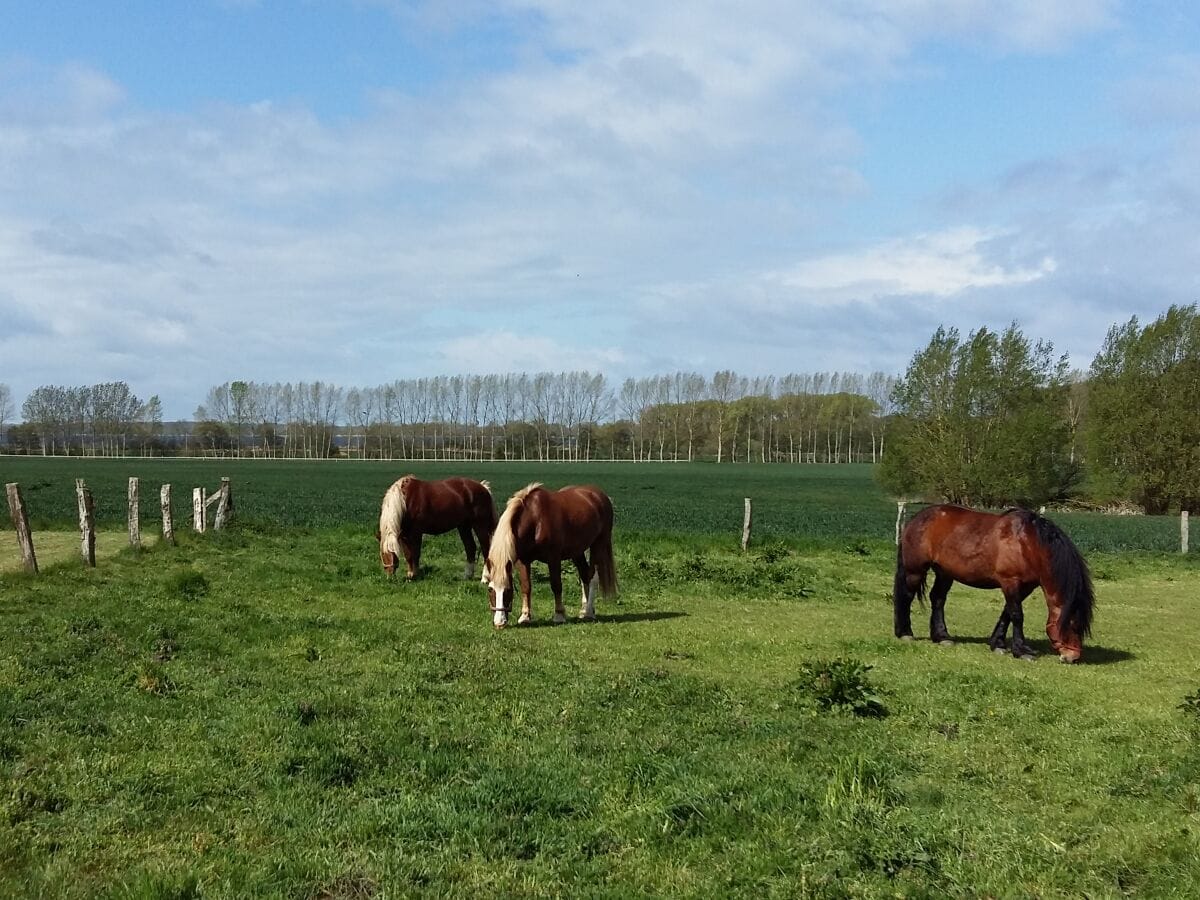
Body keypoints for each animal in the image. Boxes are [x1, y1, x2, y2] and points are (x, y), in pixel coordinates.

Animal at [482, 487, 619, 628]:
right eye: (490, 589)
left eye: (508, 590)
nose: (499, 623)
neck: (535, 520)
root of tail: (600, 495)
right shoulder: (524, 561)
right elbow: (526, 586)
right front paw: (525, 616)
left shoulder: (553, 558)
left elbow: (556, 585)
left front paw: (559, 615)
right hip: (577, 552)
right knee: (584, 575)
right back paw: (584, 610)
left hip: (598, 544)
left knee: (593, 576)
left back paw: (588, 613)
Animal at [897, 504, 1094, 667]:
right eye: (1073, 625)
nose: (1072, 657)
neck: (1028, 544)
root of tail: (915, 519)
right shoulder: (1010, 581)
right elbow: (1017, 615)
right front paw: (1021, 651)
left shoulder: (1025, 587)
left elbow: (1007, 613)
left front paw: (998, 644)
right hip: (915, 570)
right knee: (907, 596)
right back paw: (905, 634)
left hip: (945, 573)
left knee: (937, 598)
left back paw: (942, 637)